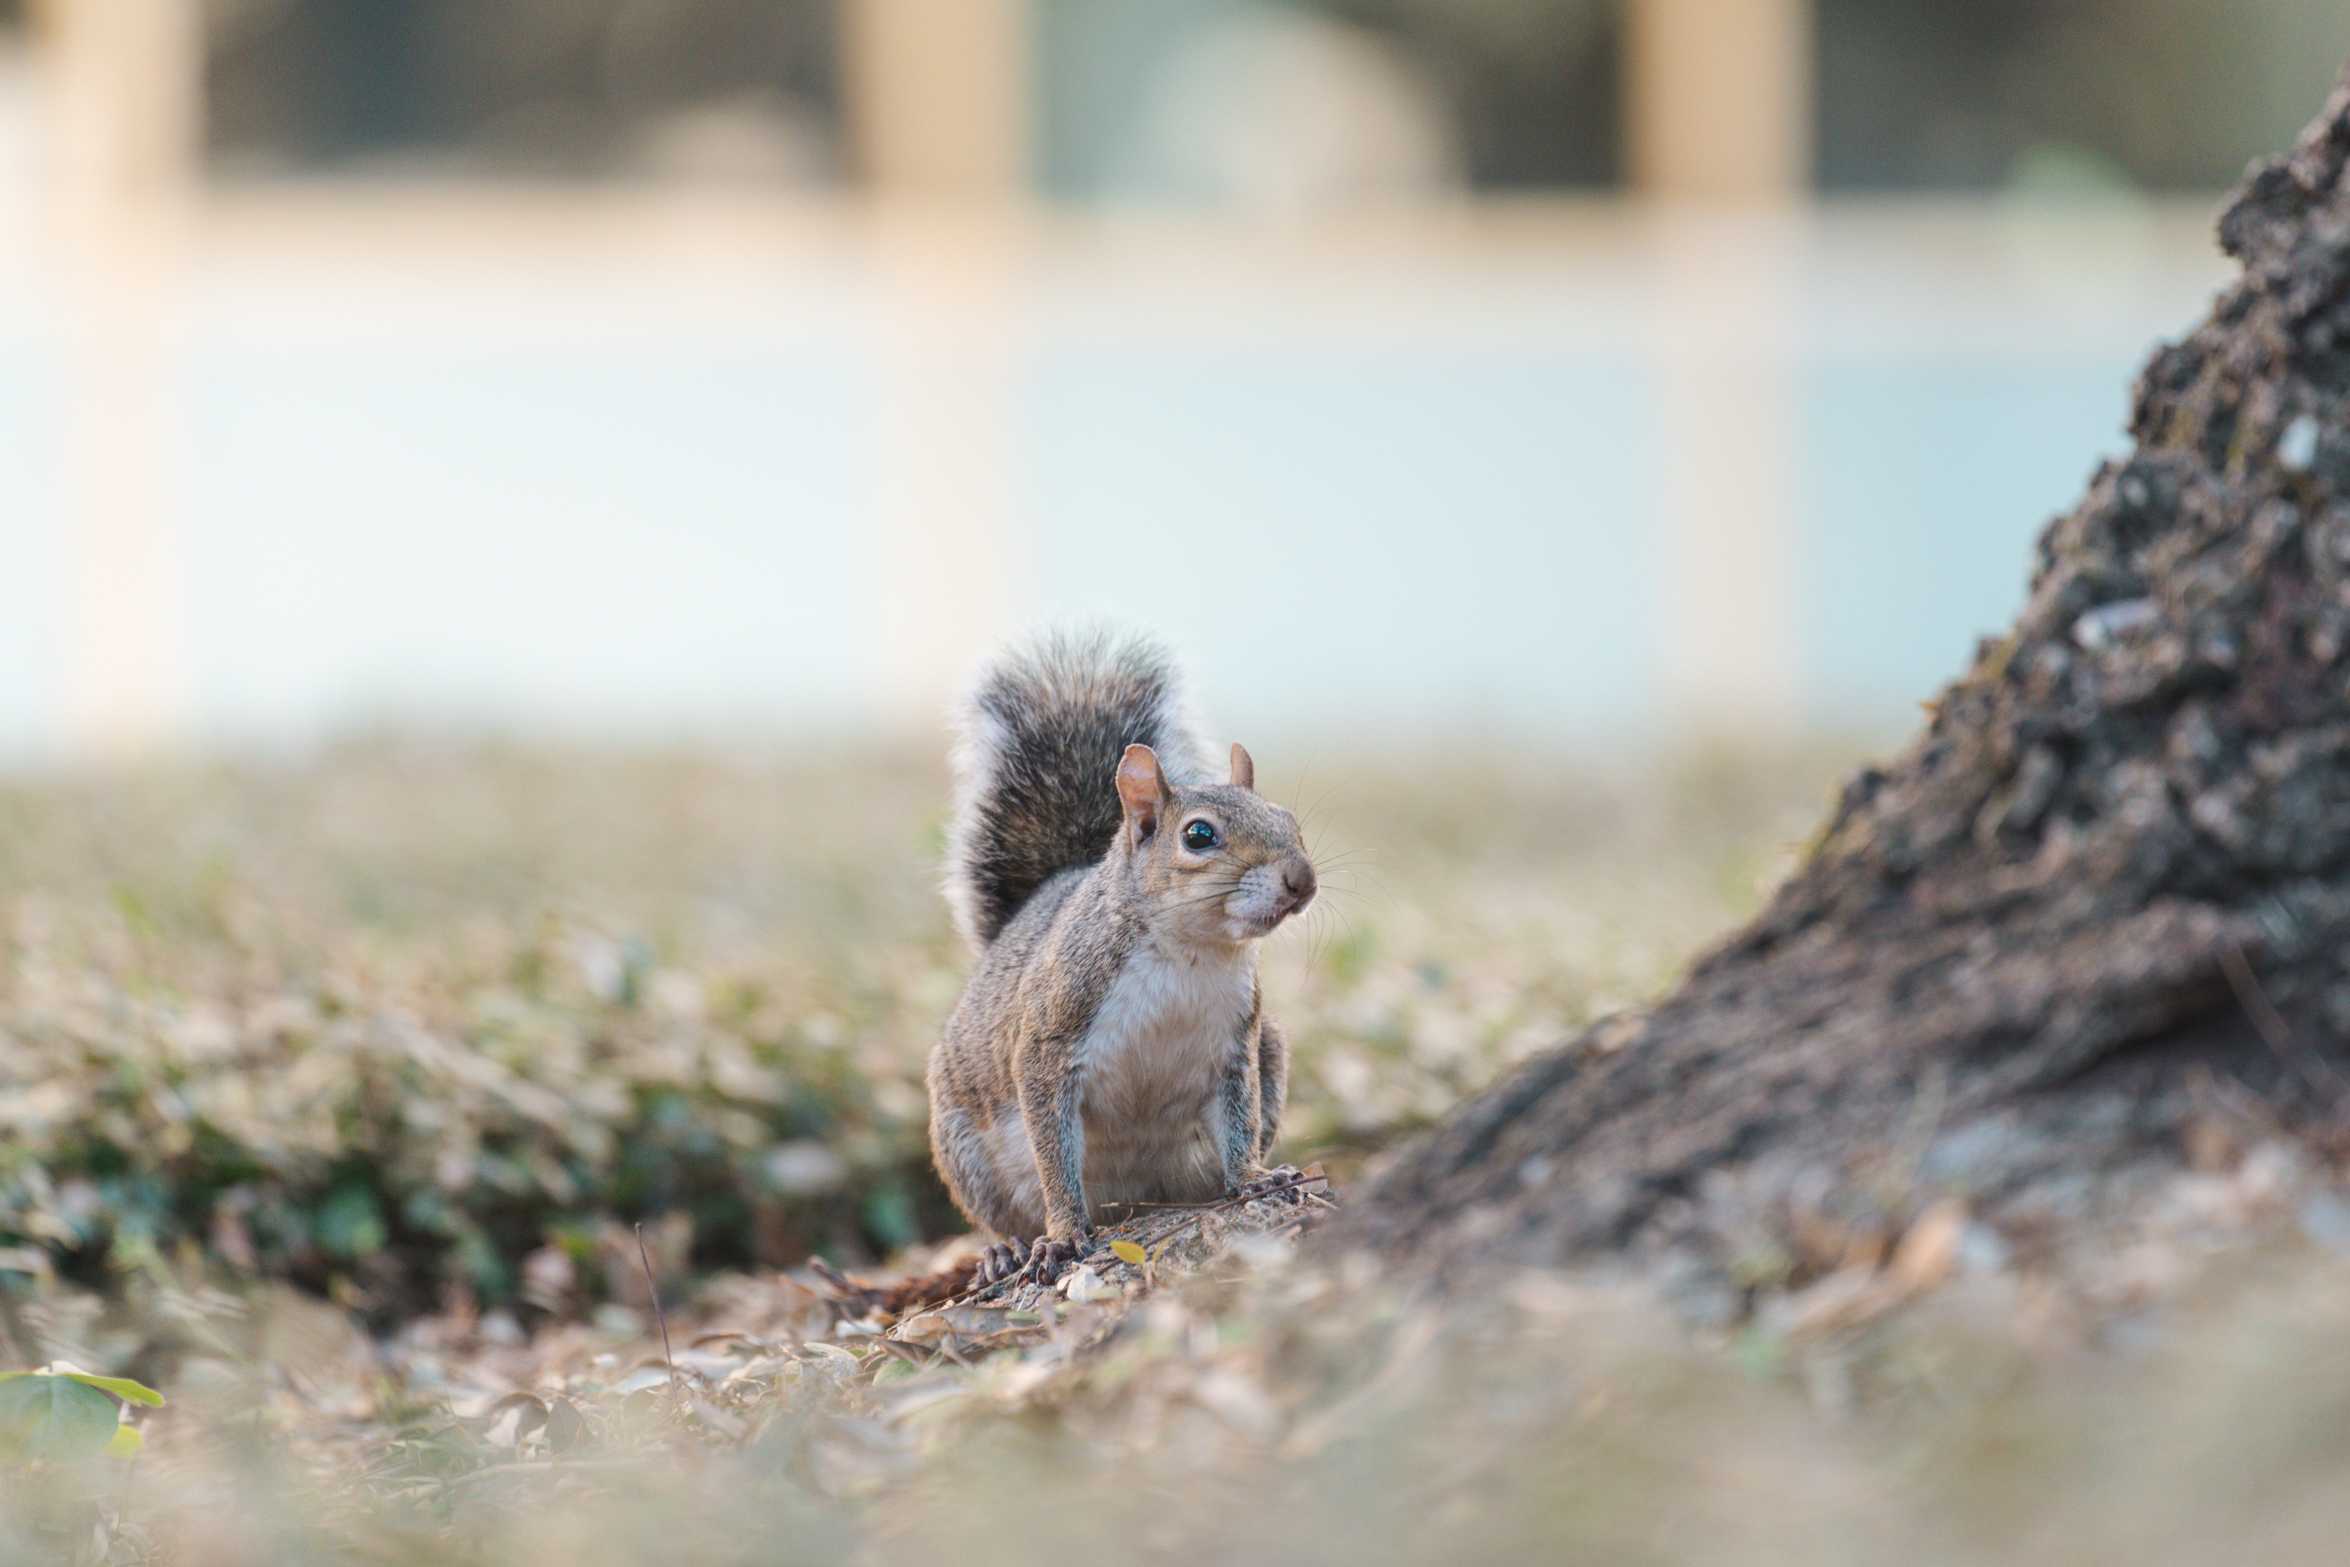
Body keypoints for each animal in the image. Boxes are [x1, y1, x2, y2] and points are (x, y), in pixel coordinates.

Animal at [921, 629, 1325, 1296]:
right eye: (1198, 836)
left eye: (1289, 821)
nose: (1302, 880)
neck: (1188, 956)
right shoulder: (1051, 1038)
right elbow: (1053, 1149)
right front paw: (1062, 1236)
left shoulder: (1237, 1046)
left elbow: (1239, 1121)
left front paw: (1254, 1178)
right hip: (965, 1147)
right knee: (998, 1215)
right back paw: (1005, 1251)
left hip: (1269, 1052)